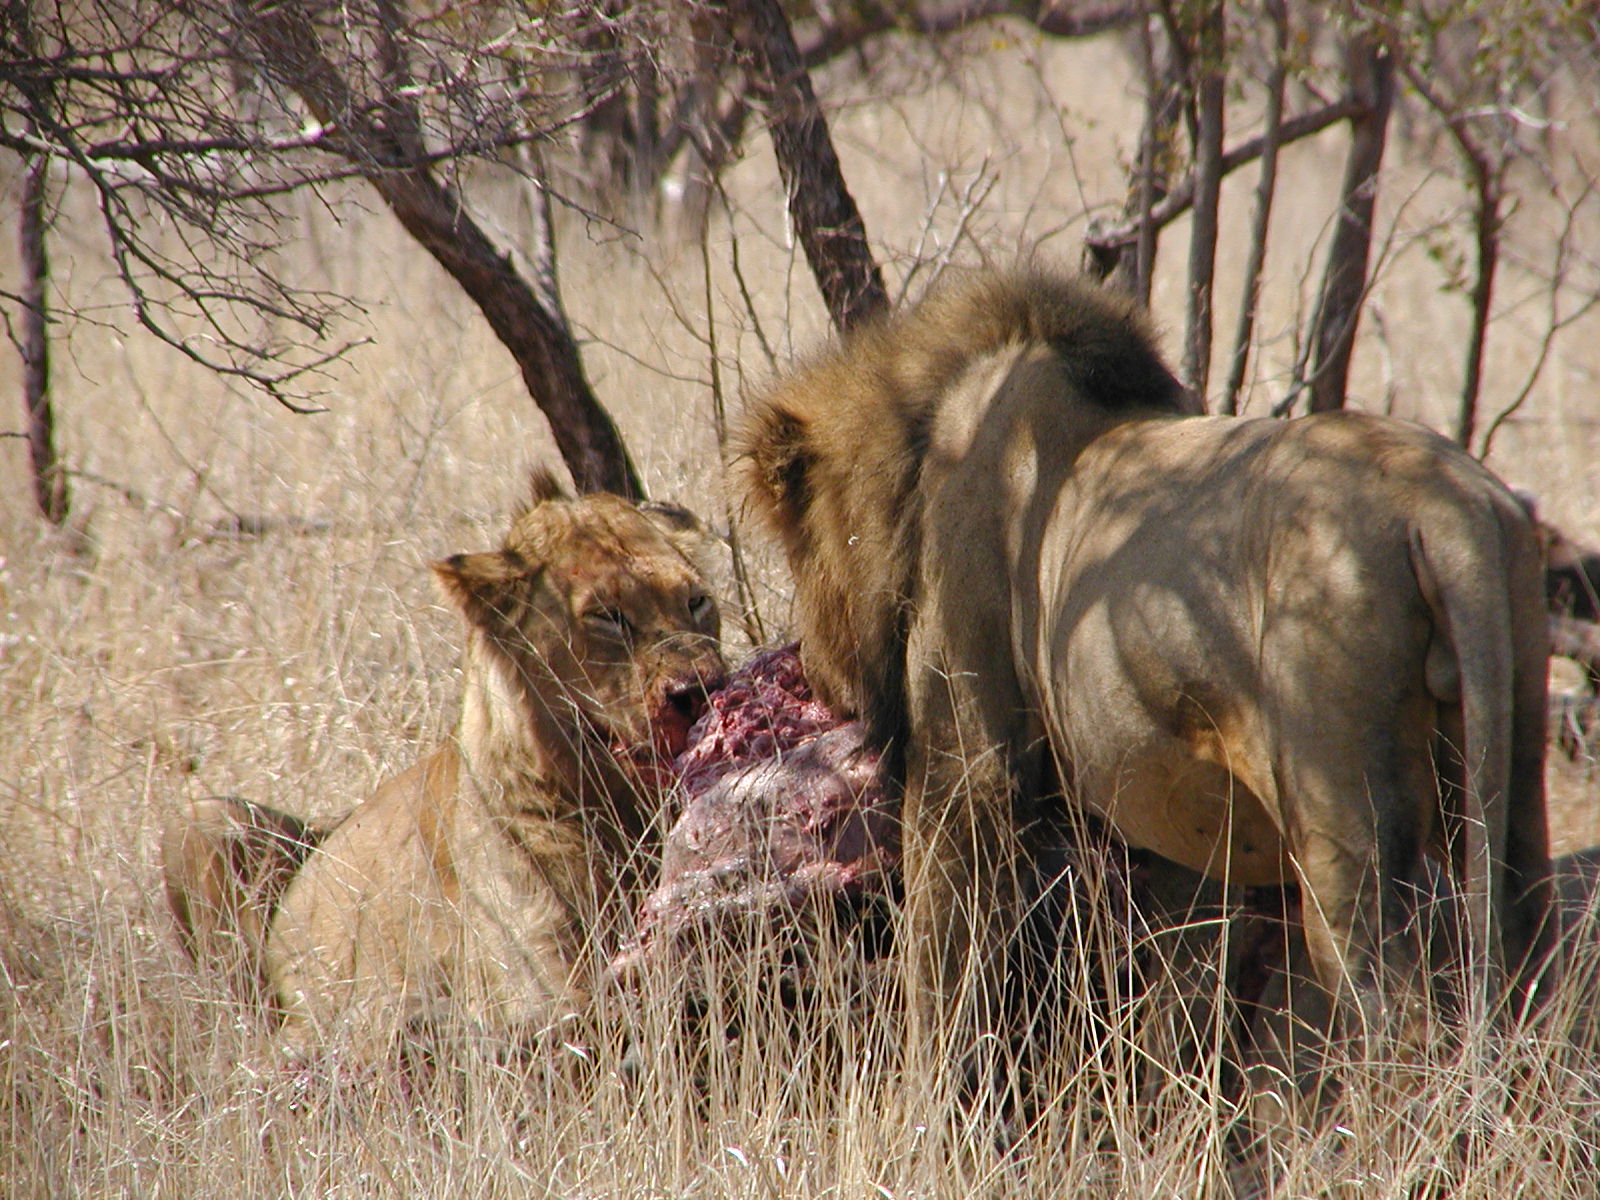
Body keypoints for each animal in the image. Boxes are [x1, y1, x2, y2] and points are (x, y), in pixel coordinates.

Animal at [161, 471, 726, 1062]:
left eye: (696, 601)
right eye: (606, 617)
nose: (701, 688)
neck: (619, 808)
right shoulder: (530, 1002)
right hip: (204, 818)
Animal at [735, 262, 1553, 1093]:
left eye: (795, 553)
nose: (807, 666)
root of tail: (1442, 507)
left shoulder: (968, 764)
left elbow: (946, 956)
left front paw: (930, 1104)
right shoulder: (1192, 816)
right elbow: (1187, 982)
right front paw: (1176, 1104)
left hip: (1339, 805)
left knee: (1391, 1007)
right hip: (1509, 747)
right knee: (1526, 948)